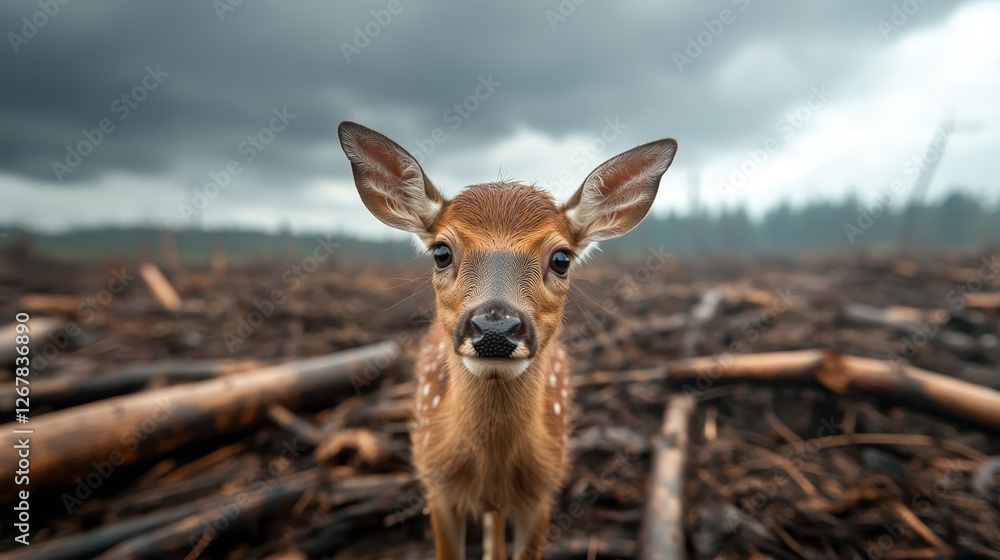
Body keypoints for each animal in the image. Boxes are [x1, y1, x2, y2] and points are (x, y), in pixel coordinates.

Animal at [338, 121, 676, 560]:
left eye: (562, 258)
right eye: (441, 252)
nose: (495, 328)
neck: (491, 468)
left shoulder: (544, 489)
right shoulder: (436, 485)